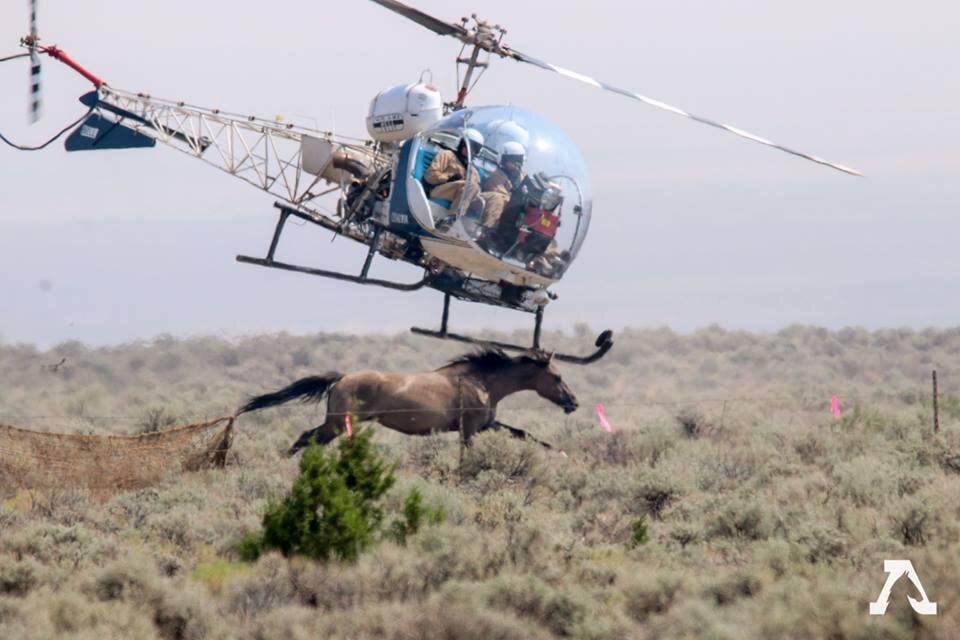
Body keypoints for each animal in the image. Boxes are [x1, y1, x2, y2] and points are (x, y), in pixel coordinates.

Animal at [237, 347, 578, 455]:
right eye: (557, 377)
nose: (573, 403)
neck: (482, 381)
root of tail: (342, 377)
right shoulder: (469, 429)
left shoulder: (487, 425)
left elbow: (524, 433)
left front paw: (559, 452)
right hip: (336, 424)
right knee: (307, 438)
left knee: (307, 439)